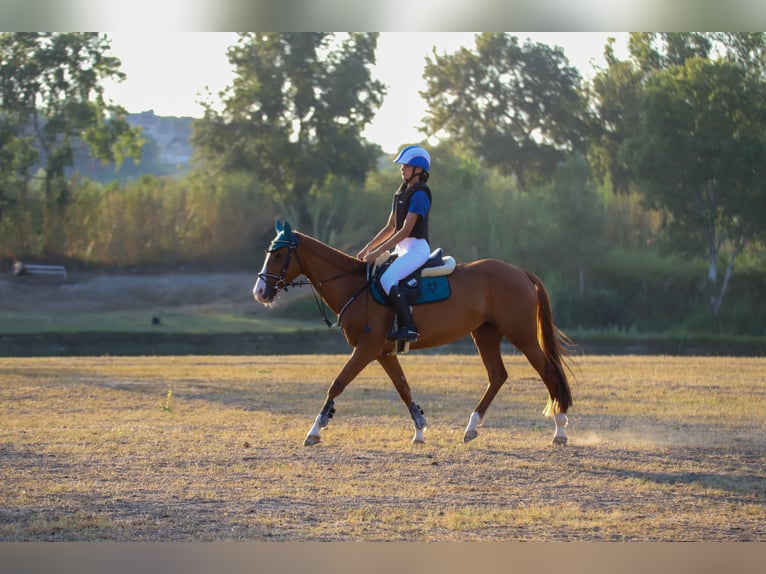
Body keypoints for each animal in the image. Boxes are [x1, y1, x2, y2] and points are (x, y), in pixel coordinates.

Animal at [253, 220, 574, 446]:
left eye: (279, 254)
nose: (260, 292)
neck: (356, 287)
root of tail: (520, 272)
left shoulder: (366, 349)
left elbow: (337, 384)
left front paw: (315, 430)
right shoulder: (382, 353)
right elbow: (403, 387)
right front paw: (419, 430)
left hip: (522, 336)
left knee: (548, 371)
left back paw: (559, 429)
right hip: (485, 334)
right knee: (498, 376)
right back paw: (471, 427)